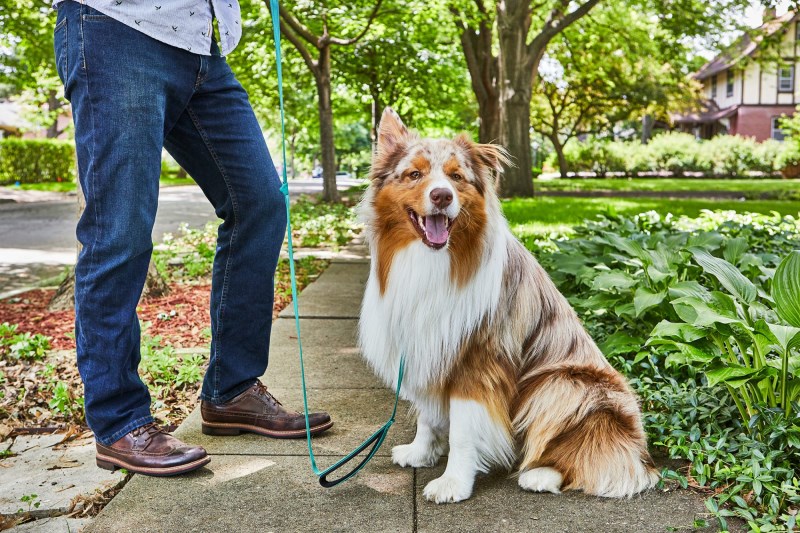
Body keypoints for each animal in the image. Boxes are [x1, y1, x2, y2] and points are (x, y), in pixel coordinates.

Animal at [360, 109, 660, 502]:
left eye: (456, 176)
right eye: (415, 174)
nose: (441, 196)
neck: (432, 260)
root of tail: (641, 452)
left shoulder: (479, 360)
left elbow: (462, 432)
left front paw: (453, 483)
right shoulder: (428, 344)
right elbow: (428, 416)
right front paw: (421, 452)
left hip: (561, 382)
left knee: (598, 458)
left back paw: (541, 475)